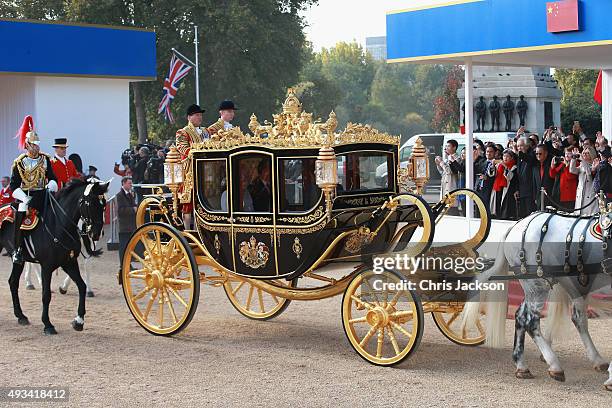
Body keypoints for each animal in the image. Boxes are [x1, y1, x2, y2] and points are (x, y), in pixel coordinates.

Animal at [0, 179, 109, 334]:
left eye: (104, 204)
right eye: (91, 204)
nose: (96, 234)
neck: (60, 225)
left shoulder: (69, 263)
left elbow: (81, 286)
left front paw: (79, 321)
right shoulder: (47, 266)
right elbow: (46, 295)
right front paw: (48, 324)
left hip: (18, 261)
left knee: (13, 282)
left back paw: (21, 316)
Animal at [466, 202, 608, 390]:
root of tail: (517, 224)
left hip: (537, 286)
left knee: (522, 316)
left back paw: (522, 365)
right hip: (538, 284)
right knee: (531, 321)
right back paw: (554, 365)